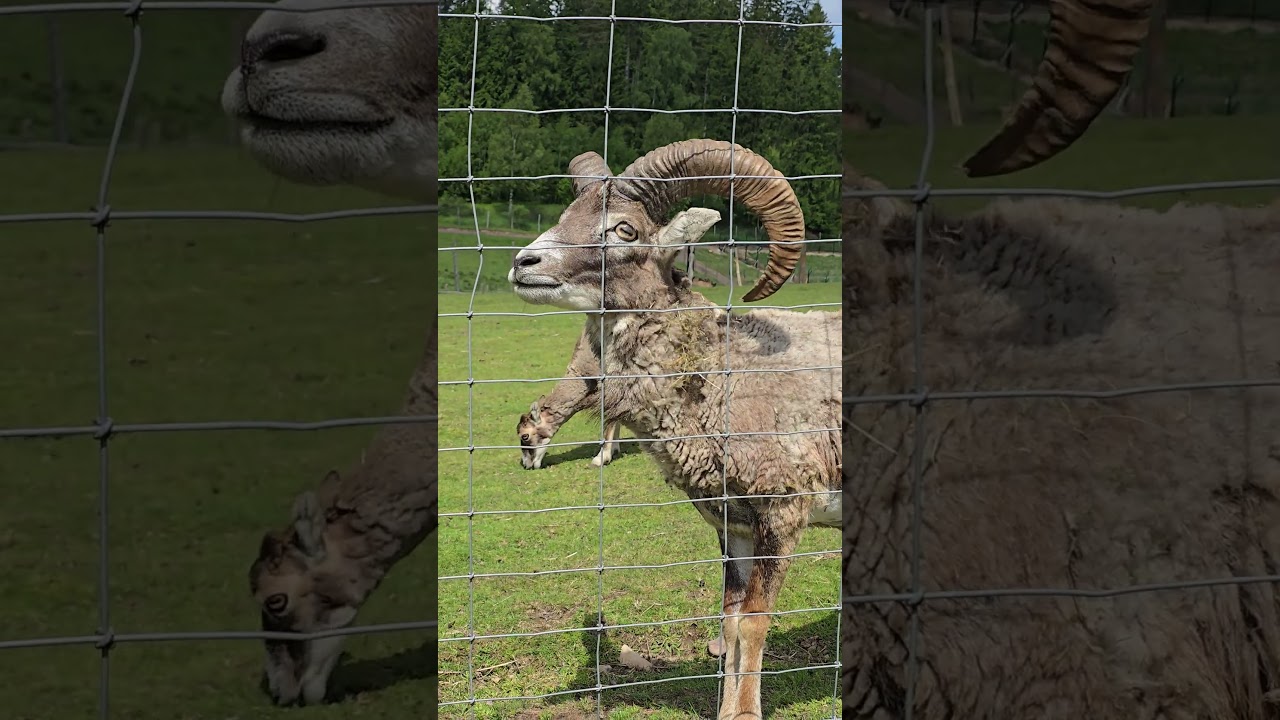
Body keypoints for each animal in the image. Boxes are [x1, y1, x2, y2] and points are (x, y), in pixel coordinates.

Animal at [508, 138, 841, 720]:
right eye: (567, 214)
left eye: (624, 230)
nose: (523, 263)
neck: (722, 375)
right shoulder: (733, 523)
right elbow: (729, 623)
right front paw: (727, 711)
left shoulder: (784, 511)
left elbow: (754, 624)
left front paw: (745, 712)